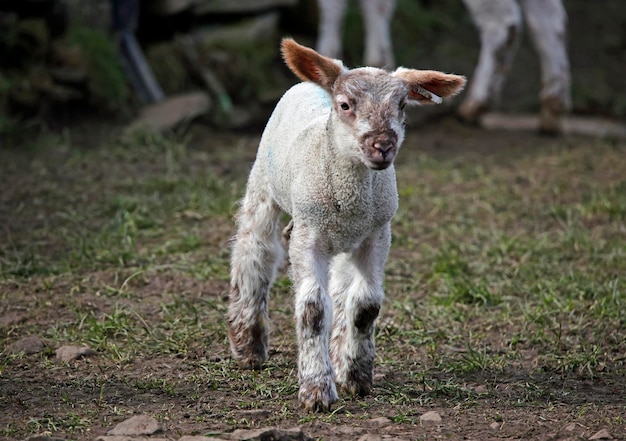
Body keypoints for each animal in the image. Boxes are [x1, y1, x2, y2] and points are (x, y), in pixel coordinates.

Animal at [227, 36, 466, 410]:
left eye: (402, 106)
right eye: (345, 105)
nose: (383, 146)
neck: (350, 196)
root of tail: (315, 80)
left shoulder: (377, 233)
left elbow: (366, 304)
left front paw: (356, 375)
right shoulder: (308, 235)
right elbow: (312, 309)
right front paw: (316, 390)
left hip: (343, 240)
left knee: (340, 290)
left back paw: (339, 354)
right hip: (264, 182)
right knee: (256, 250)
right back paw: (248, 344)